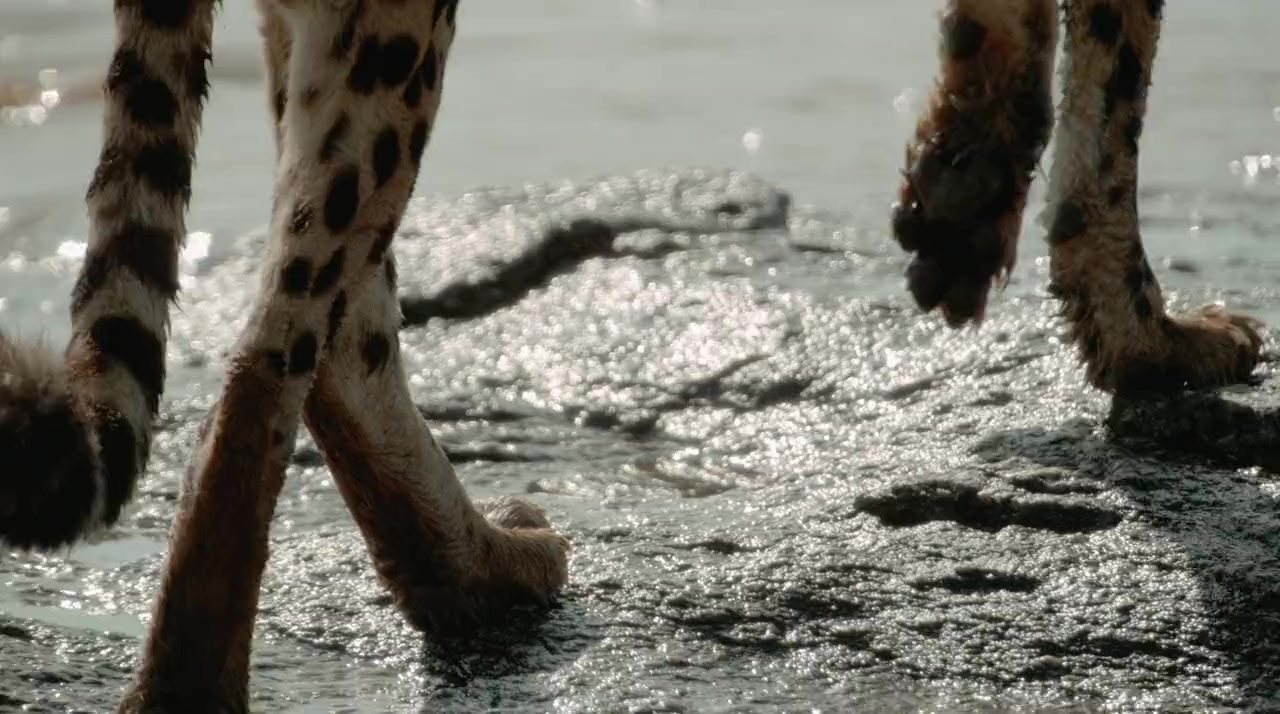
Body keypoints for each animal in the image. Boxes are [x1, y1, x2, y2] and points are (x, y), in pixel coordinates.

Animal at [0, 0, 1264, 711]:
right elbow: (1118, 59)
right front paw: (1137, 328)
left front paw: (968, 186)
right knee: (277, 343)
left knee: (337, 321)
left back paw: (484, 572)